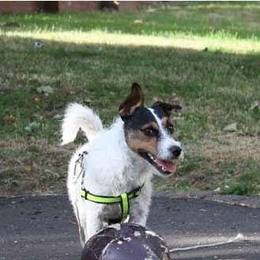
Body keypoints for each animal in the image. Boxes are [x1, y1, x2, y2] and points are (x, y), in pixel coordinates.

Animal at [61, 83, 182, 246]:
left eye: (171, 128)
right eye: (149, 130)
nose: (177, 150)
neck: (126, 167)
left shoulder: (139, 213)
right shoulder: (94, 217)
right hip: (81, 213)